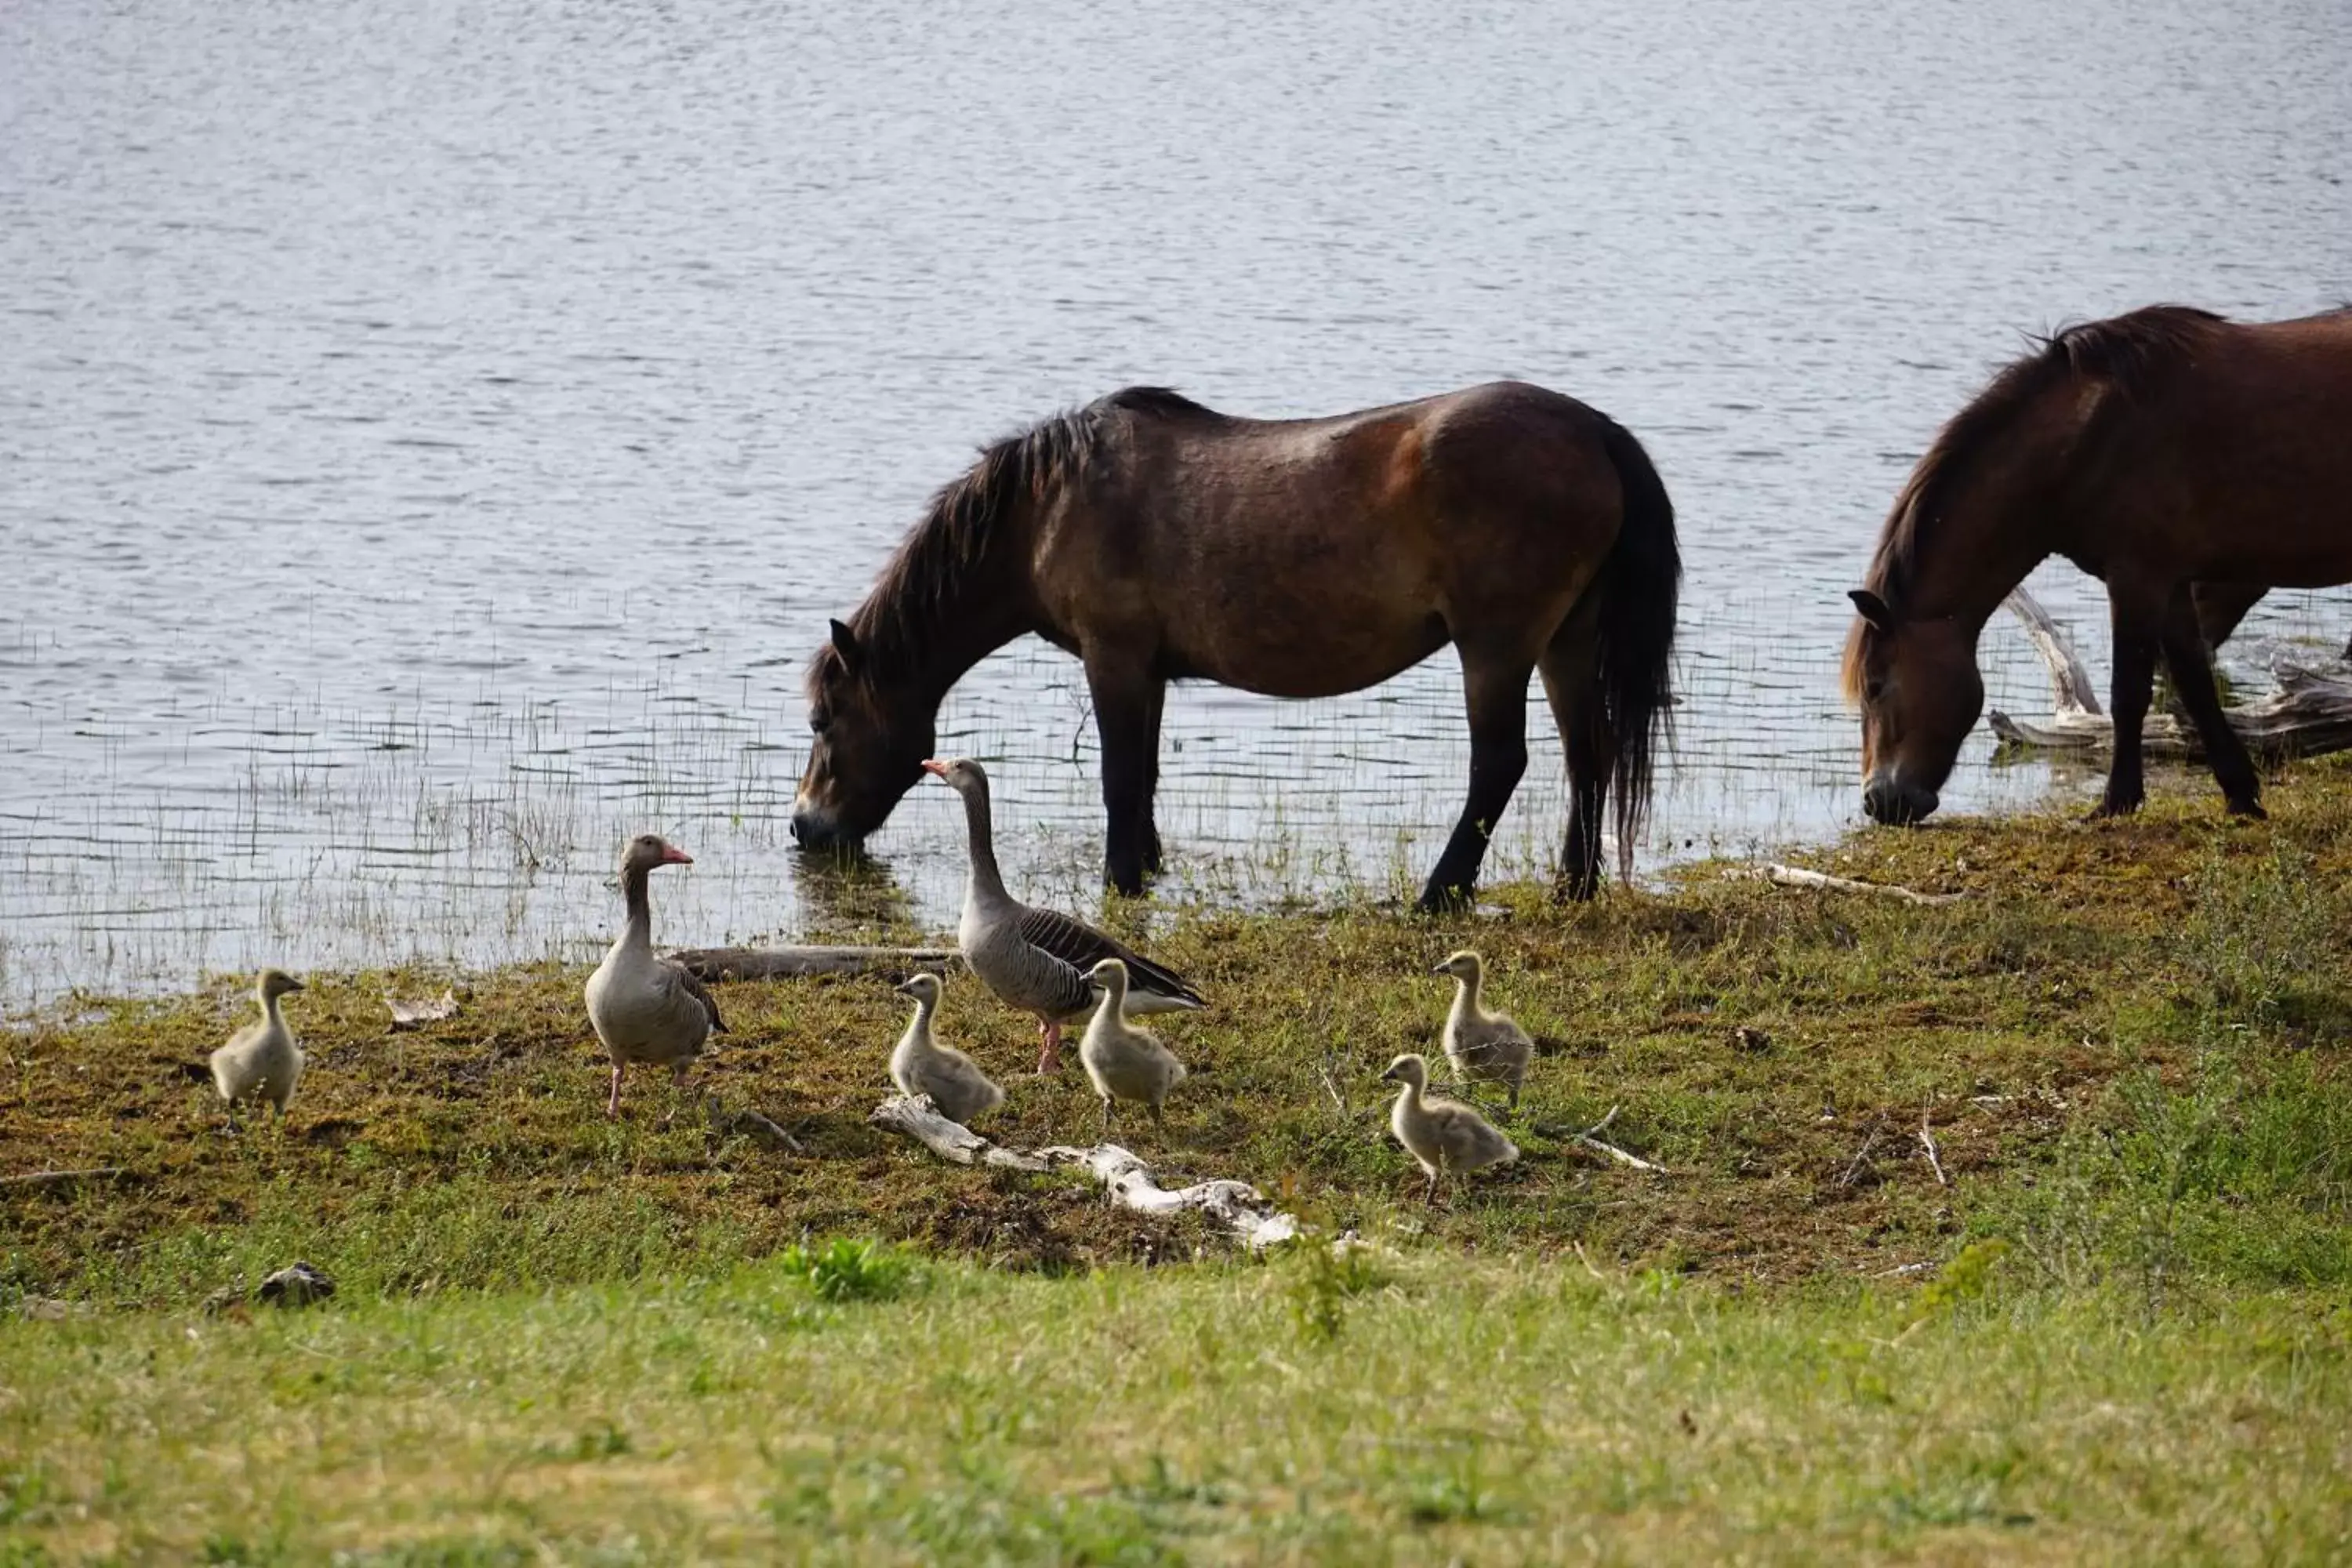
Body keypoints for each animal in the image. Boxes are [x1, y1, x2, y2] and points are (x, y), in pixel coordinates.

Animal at [800, 378, 1684, 907]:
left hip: (1495, 646)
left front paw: (1120, 882)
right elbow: (1145, 776)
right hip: (1565, 639)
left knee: (1501, 763)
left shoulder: (1114, 655)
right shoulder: (1149, 669)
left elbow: (1119, 777)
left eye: (822, 720)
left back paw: (1441, 893)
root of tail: (1595, 431)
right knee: (1588, 753)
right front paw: (1147, 867)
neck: (1046, 507)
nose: (805, 828)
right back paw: (1573, 885)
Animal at [1844, 303, 2352, 827]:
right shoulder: (2170, 583)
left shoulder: (2135, 578)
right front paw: (2240, 794)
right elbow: (2194, 684)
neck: (2088, 438)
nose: (1878, 801)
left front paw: (2115, 801)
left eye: (1875, 686)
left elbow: (2127, 695)